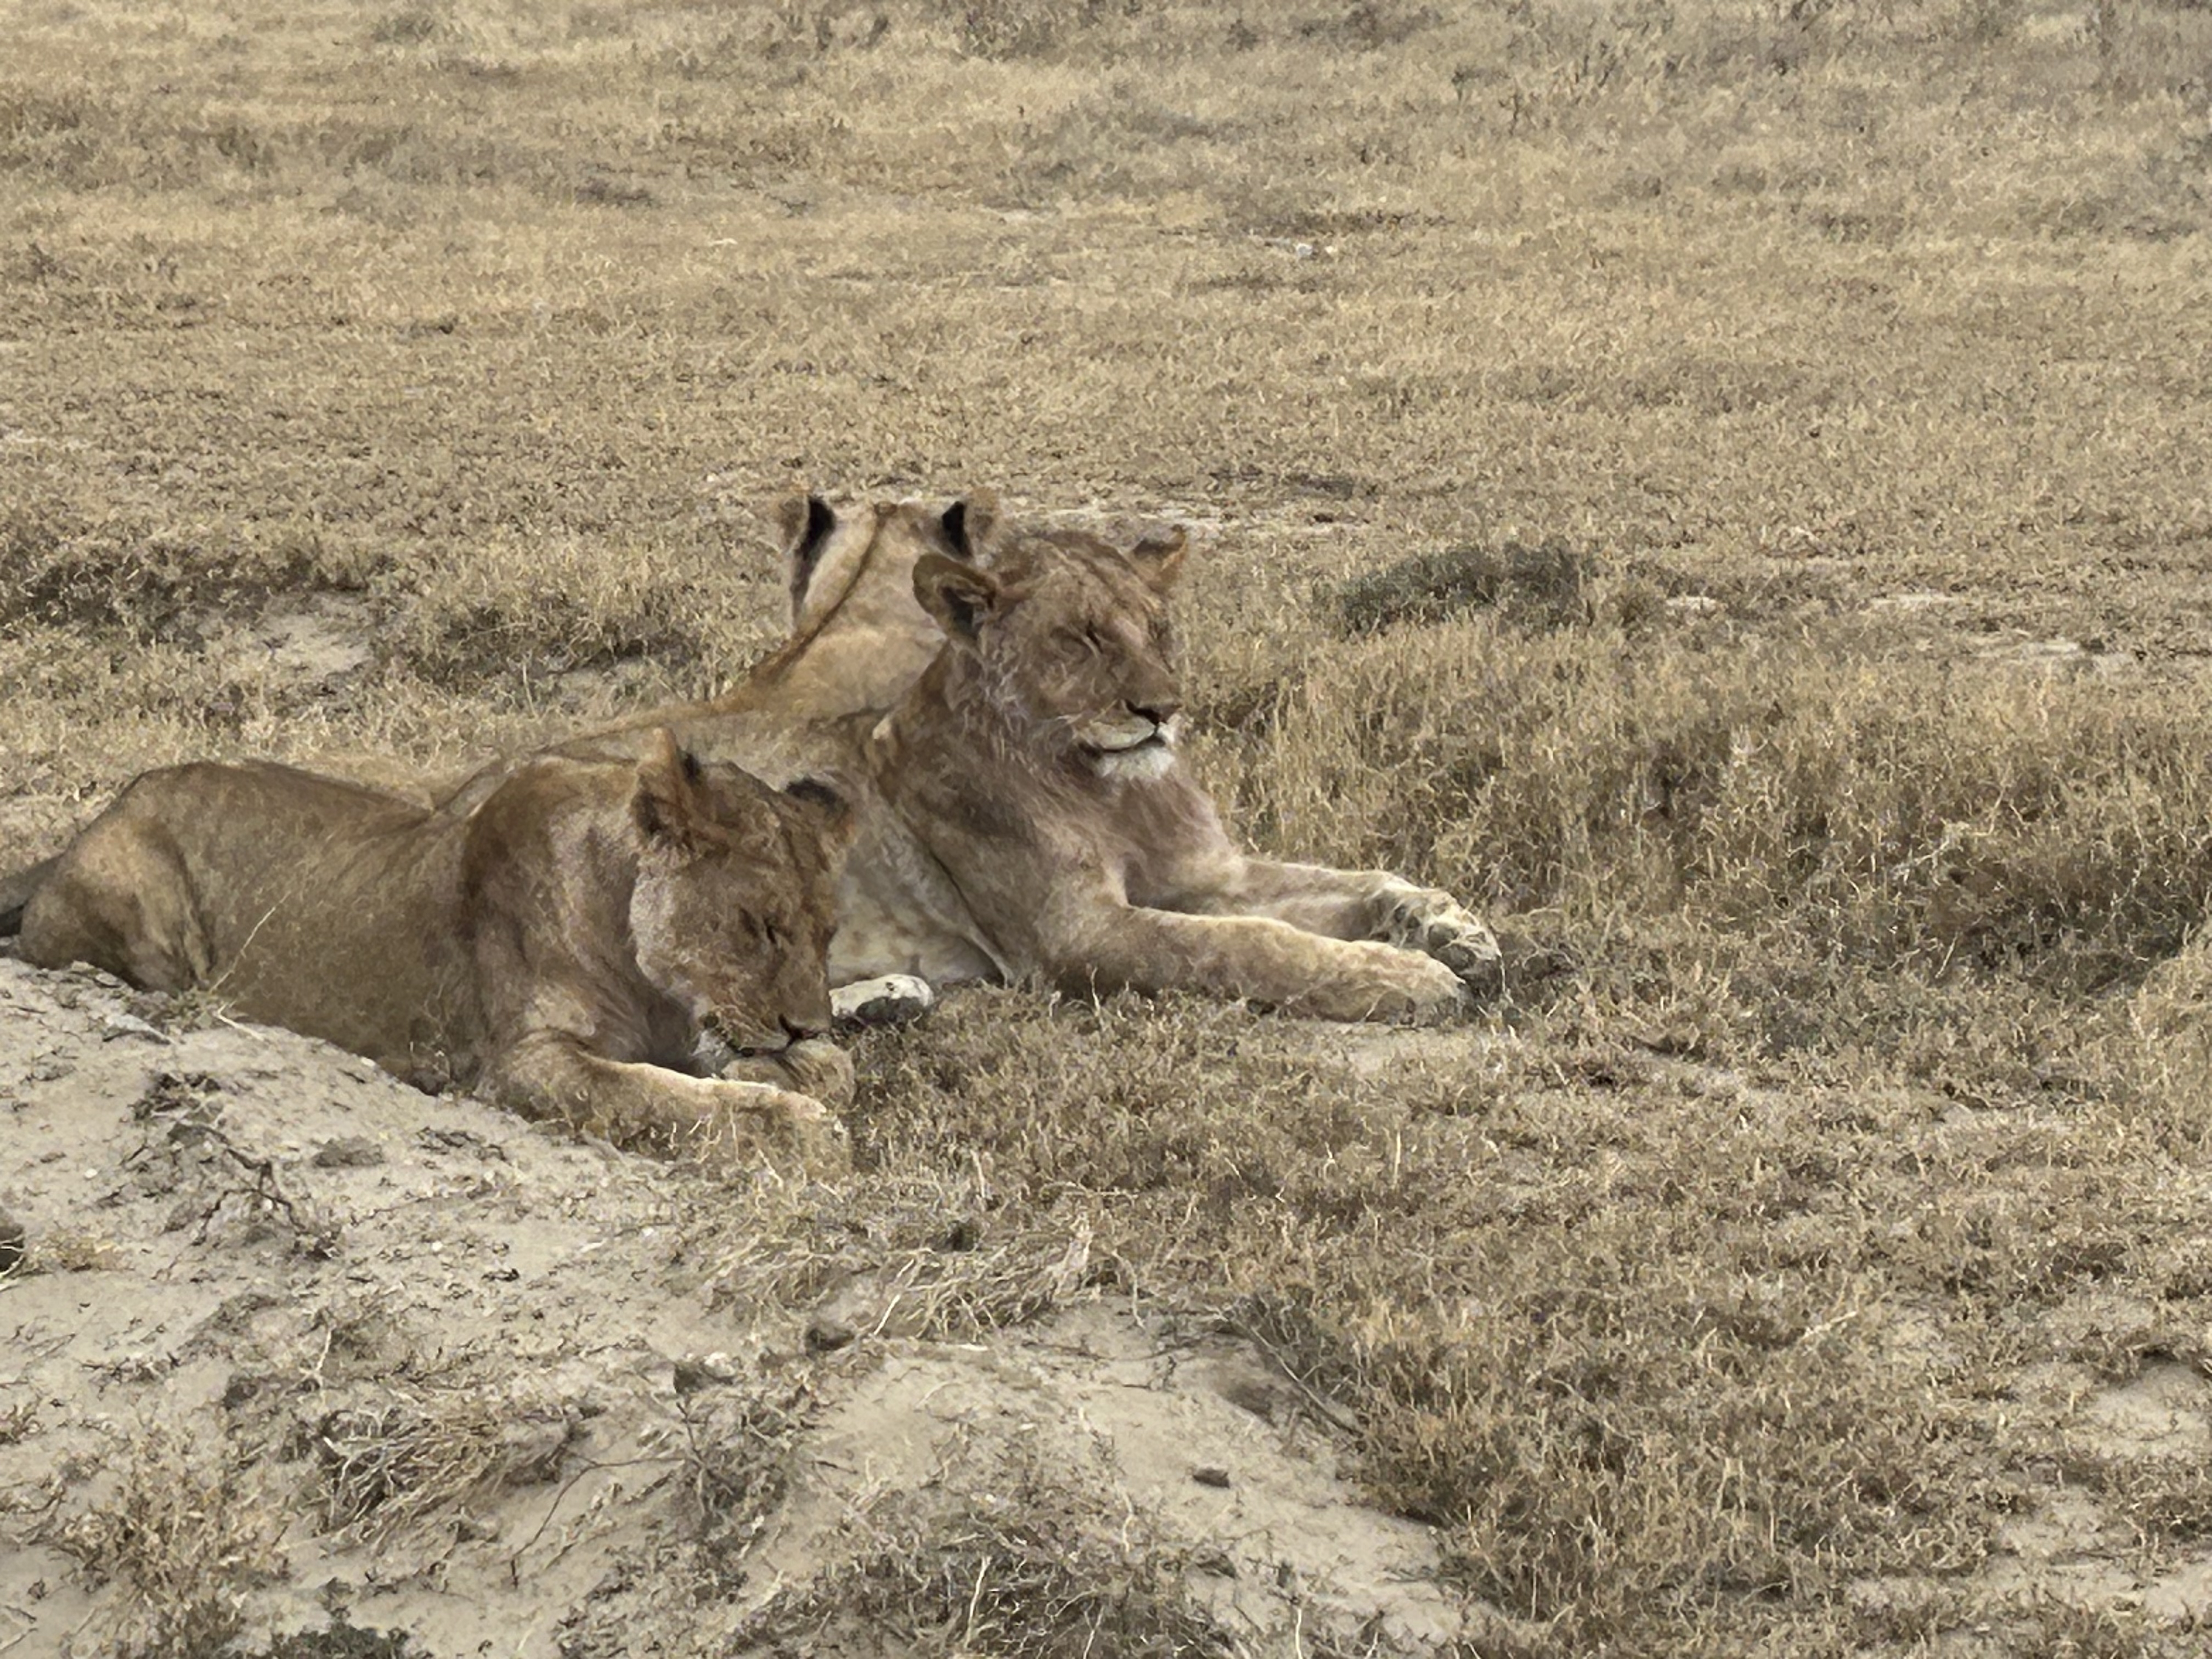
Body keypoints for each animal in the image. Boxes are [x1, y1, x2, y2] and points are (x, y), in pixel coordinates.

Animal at [7, 732, 857, 1176]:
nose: (806, 1024)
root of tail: (90, 824)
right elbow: (662, 1098)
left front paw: (796, 1069)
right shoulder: (524, 1062)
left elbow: (831, 1070)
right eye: (761, 925)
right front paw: (802, 1128)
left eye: (828, 933)